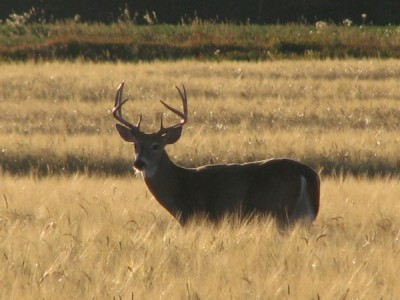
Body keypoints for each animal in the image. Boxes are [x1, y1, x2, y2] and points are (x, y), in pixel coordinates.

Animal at [114, 81, 320, 226]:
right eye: (135, 145)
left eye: (156, 146)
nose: (139, 163)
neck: (180, 185)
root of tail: (306, 174)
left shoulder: (198, 219)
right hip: (304, 217)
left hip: (278, 212)